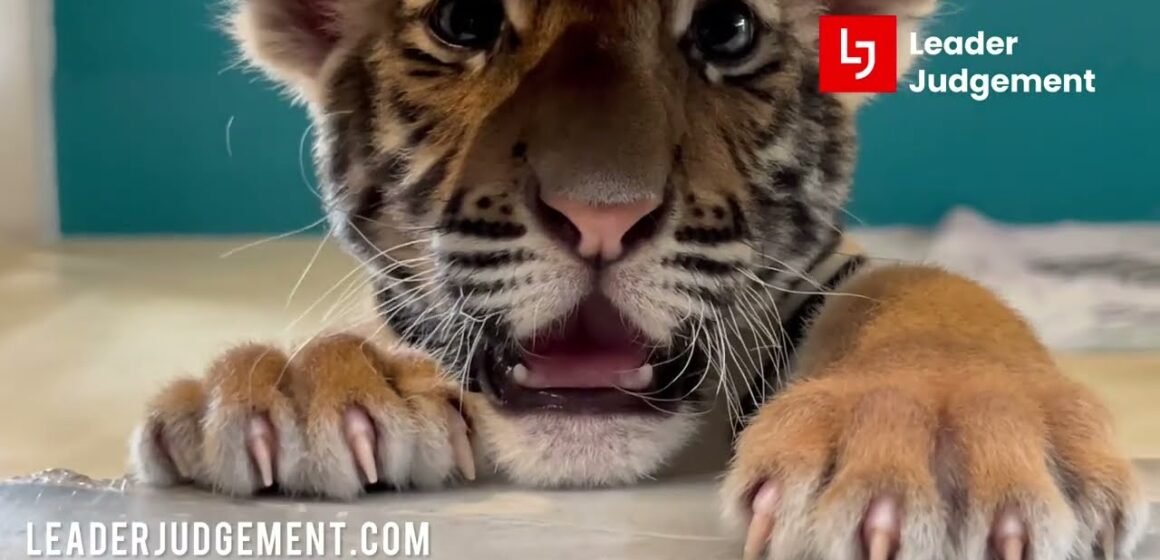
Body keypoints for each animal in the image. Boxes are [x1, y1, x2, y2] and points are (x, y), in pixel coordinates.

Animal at [129, 0, 1148, 557]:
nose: (602, 212)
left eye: (727, 29)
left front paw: (943, 452)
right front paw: (306, 386)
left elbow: (920, 291)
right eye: (465, 21)